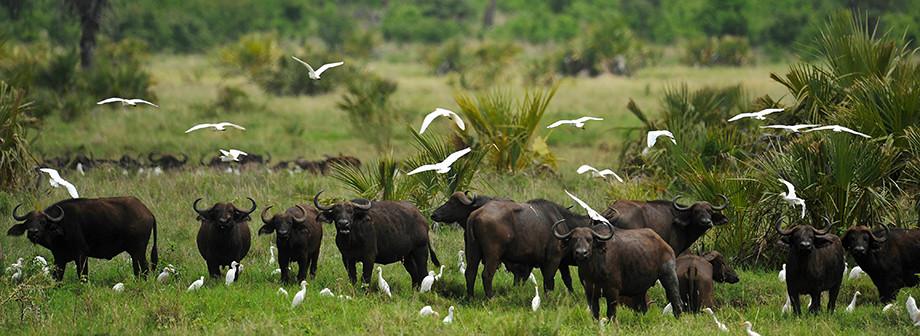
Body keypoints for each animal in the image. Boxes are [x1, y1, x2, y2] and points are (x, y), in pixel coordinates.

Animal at [7, 197, 158, 280]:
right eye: (28, 222)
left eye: (43, 222)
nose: (33, 232)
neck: (61, 227)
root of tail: (148, 212)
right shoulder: (59, 258)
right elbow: (57, 278)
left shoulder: (81, 255)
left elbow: (83, 276)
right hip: (135, 253)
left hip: (138, 252)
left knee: (144, 270)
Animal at [552, 220, 684, 320]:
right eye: (574, 239)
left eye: (589, 239)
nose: (581, 253)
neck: (593, 270)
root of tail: (664, 245)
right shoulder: (590, 292)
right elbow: (595, 313)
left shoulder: (613, 292)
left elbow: (611, 313)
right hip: (640, 288)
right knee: (642, 307)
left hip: (669, 276)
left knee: (675, 299)